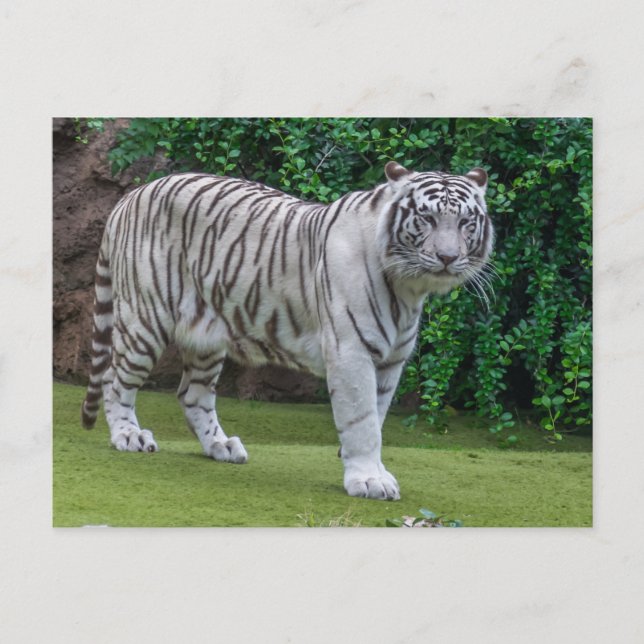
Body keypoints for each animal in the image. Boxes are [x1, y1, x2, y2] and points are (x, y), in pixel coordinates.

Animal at [81, 160, 492, 501]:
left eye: (465, 223)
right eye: (427, 218)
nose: (448, 258)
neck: (409, 288)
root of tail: (131, 195)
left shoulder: (390, 361)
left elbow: (376, 417)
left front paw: (372, 472)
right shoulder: (351, 352)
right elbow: (362, 422)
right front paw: (368, 480)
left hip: (206, 334)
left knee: (192, 394)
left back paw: (221, 447)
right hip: (144, 319)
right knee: (115, 380)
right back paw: (128, 436)